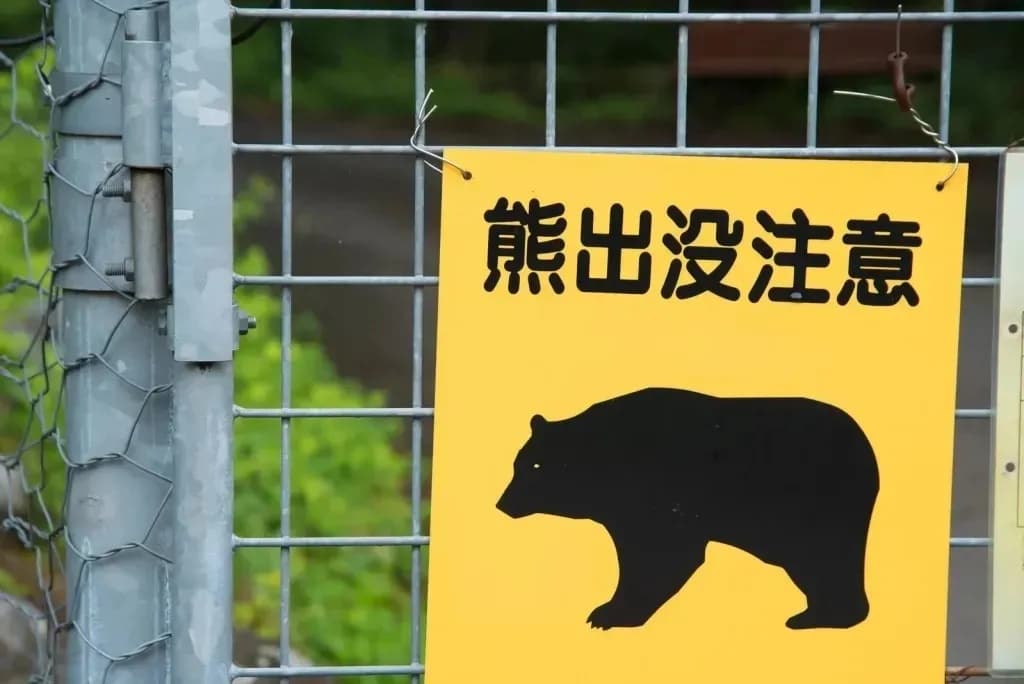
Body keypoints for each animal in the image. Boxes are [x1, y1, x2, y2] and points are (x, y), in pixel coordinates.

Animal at [495, 386, 879, 632]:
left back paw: (824, 617)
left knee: (827, 559)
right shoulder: (622, 511)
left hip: (818, 504)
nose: (502, 503)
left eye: (534, 467)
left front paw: (609, 614)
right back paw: (815, 615)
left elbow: (664, 555)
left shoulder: (658, 495)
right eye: (518, 464)